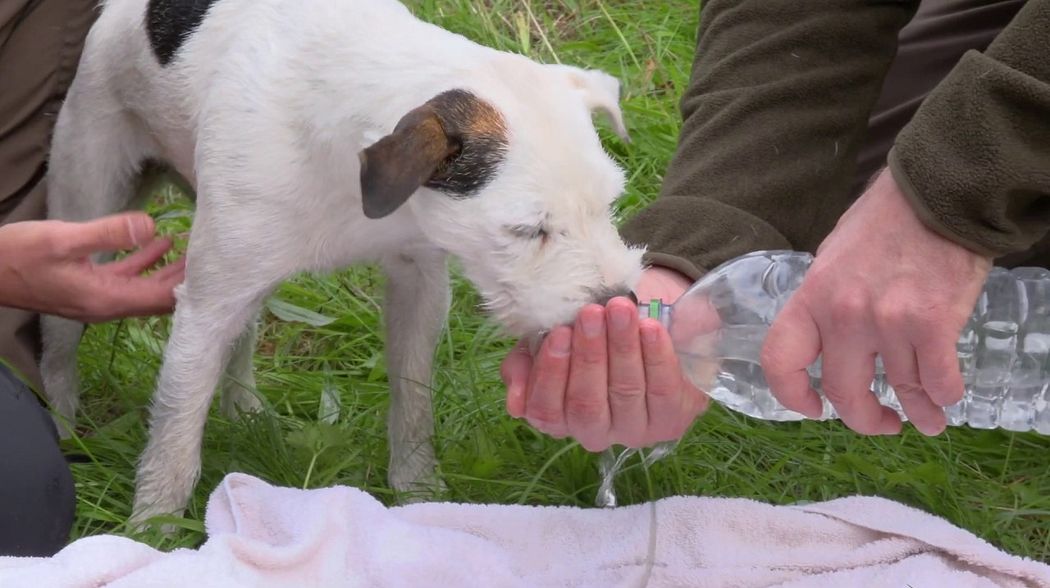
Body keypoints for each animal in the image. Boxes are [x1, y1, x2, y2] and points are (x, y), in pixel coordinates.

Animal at [40, 0, 642, 522]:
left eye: (609, 205)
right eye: (527, 229)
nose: (620, 302)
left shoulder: (419, 282)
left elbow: (413, 400)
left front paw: (420, 493)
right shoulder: (206, 307)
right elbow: (175, 434)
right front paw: (155, 529)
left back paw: (243, 408)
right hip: (88, 207)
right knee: (59, 343)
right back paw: (64, 428)